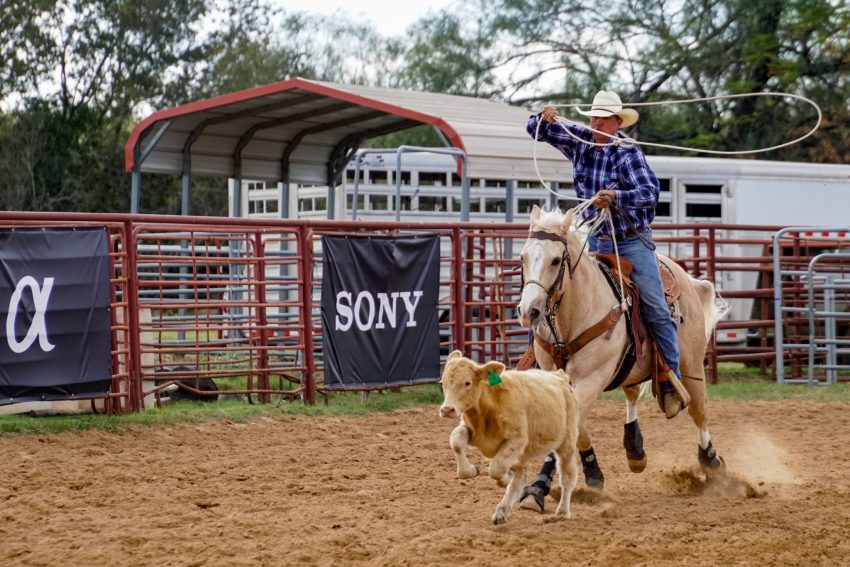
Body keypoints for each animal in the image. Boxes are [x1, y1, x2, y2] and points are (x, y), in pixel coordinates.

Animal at [438, 352, 576, 524]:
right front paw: (471, 470)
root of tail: (559, 376)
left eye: (467, 382)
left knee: (567, 476)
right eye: (442, 383)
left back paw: (563, 511)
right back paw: (502, 512)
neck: (488, 410)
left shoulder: (517, 439)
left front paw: (504, 478)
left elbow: (496, 469)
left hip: (567, 442)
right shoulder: (472, 431)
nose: (447, 410)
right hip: (525, 454)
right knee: (518, 481)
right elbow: (456, 441)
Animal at [512, 204, 724, 488]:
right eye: (522, 258)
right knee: (632, 394)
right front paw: (589, 471)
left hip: (692, 368)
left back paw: (710, 460)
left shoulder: (592, 377)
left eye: (556, 260)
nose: (529, 312)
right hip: (632, 366)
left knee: (699, 412)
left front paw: (540, 486)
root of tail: (687, 280)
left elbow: (569, 425)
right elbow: (573, 425)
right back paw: (634, 449)